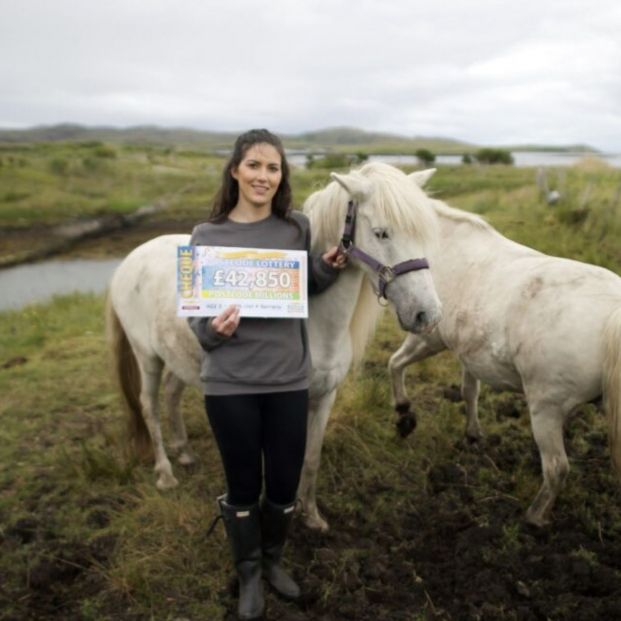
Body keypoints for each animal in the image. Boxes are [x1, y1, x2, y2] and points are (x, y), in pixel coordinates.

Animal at [109, 162, 444, 532]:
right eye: (382, 233)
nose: (427, 314)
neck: (320, 322)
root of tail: (131, 259)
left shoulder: (325, 397)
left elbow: (310, 459)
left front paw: (311, 516)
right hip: (147, 357)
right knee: (149, 406)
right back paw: (166, 474)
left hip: (177, 356)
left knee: (171, 392)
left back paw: (184, 453)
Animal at [388, 168, 620, 524]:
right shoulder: (469, 354)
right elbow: (469, 392)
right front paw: (472, 436)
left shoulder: (427, 336)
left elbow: (395, 363)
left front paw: (404, 415)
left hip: (544, 408)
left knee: (556, 468)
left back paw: (534, 517)